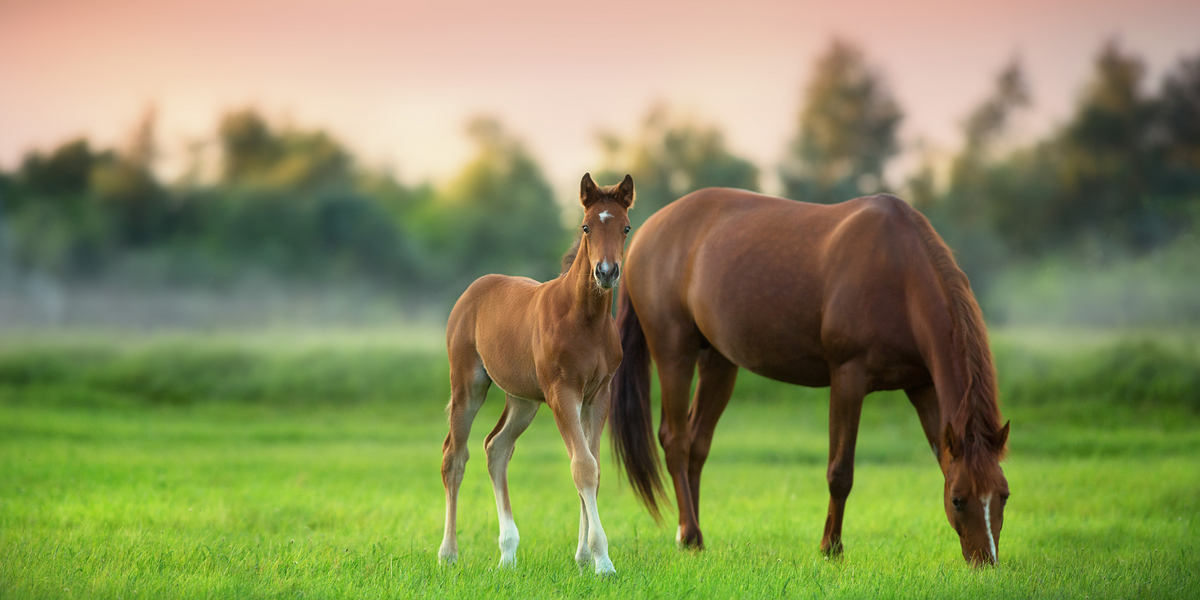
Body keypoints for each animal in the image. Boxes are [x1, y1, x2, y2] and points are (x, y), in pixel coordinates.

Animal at [437, 173, 635, 575]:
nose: (606, 272)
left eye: (625, 227)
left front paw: (583, 557)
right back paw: (448, 553)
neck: (584, 320)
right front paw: (603, 561)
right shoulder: (563, 393)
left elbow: (593, 469)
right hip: (468, 384)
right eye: (586, 226)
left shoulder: (598, 395)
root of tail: (474, 288)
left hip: (523, 400)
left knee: (496, 448)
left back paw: (508, 552)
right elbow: (583, 467)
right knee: (455, 456)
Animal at [610, 188, 1010, 565]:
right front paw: (830, 548)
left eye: (1004, 495)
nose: (985, 561)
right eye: (958, 500)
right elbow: (840, 472)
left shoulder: (922, 387)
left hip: (719, 362)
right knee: (676, 441)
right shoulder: (848, 377)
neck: (900, 274)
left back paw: (691, 535)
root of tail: (644, 232)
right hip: (674, 352)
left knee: (697, 443)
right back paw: (690, 533)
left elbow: (940, 459)